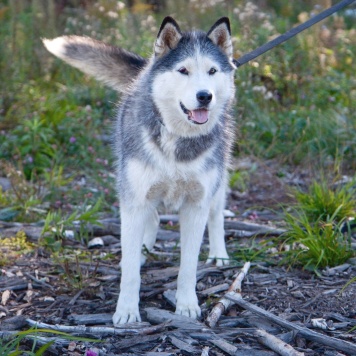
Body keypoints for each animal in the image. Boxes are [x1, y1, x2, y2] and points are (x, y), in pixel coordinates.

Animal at [43, 16, 236, 322]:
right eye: (183, 70)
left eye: (212, 70)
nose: (205, 96)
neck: (176, 138)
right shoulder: (134, 200)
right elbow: (131, 270)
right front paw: (127, 310)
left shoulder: (196, 205)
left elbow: (188, 266)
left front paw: (186, 305)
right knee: (152, 220)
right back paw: (143, 250)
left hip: (217, 182)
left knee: (216, 213)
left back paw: (219, 254)